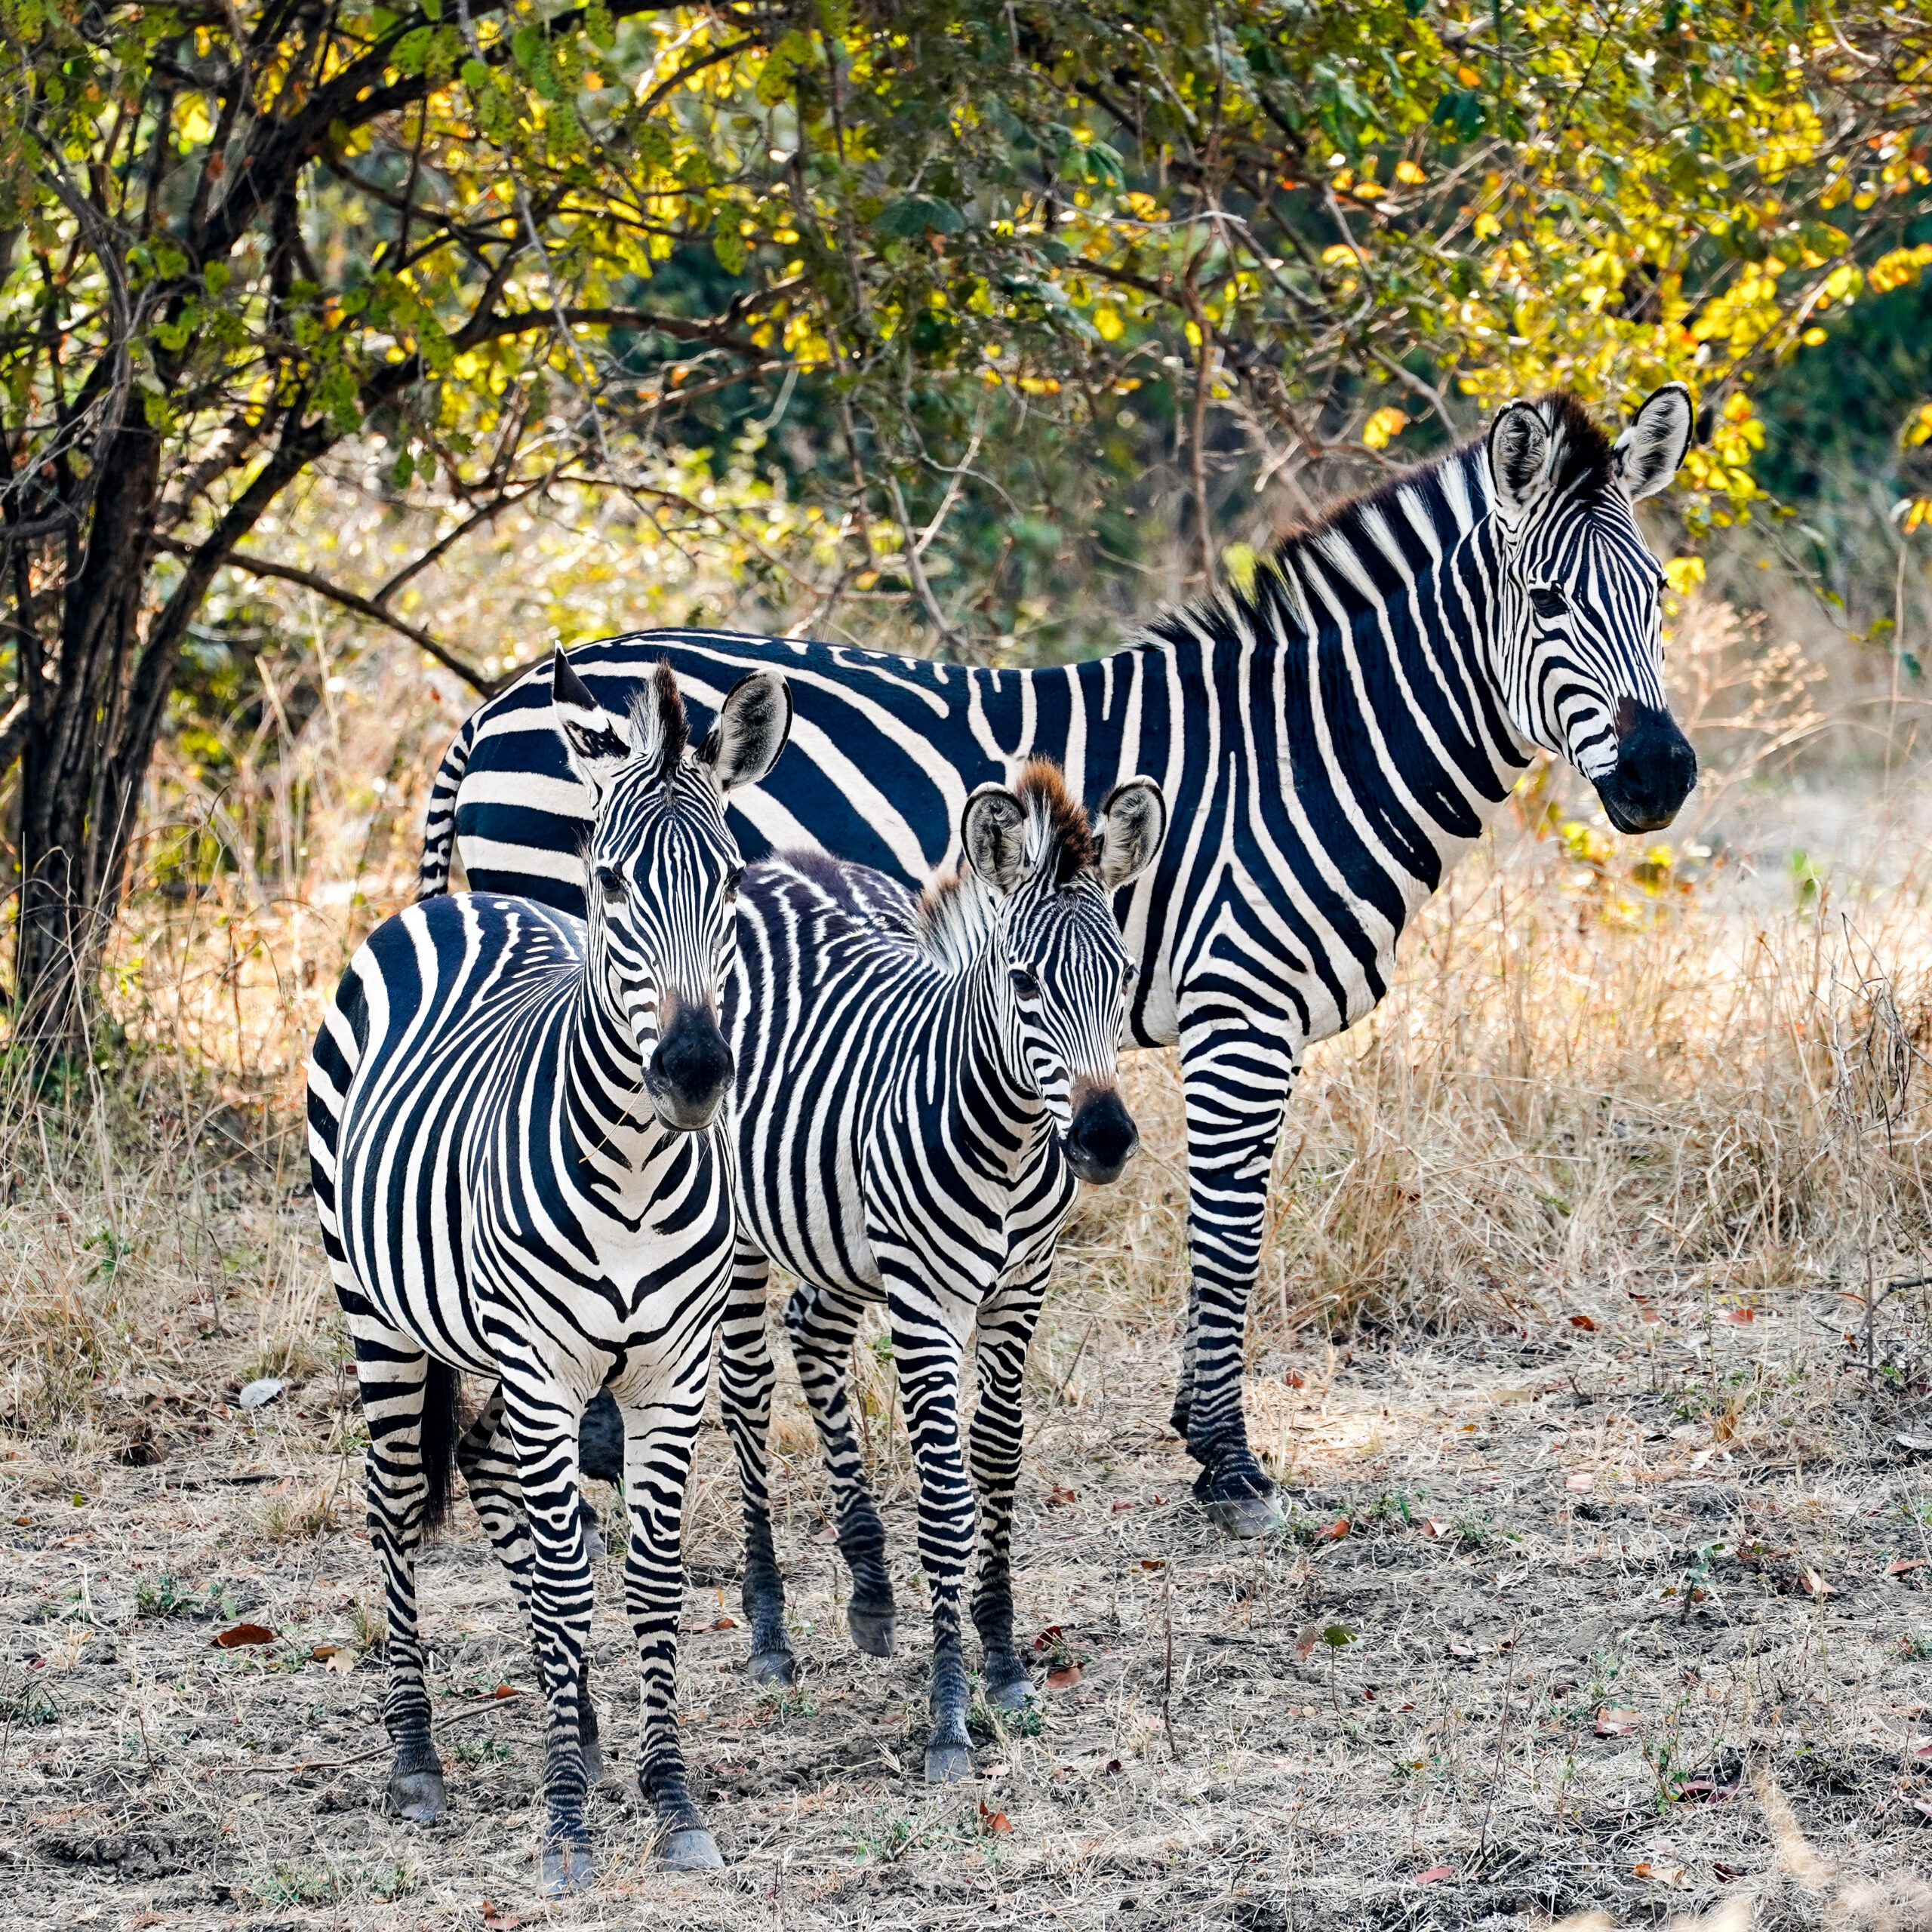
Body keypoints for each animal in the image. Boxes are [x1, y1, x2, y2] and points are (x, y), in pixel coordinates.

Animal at [308, 654, 792, 1892]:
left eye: (729, 881)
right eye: (612, 882)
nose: (694, 1071)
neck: (634, 1174)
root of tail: (455, 902)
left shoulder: (670, 1376)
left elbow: (649, 1582)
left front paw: (669, 1799)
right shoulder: (542, 1368)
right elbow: (573, 1583)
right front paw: (566, 1824)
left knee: (484, 1466)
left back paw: (575, 1721)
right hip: (380, 1318)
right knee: (395, 1496)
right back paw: (416, 1760)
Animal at [421, 384, 1699, 1539]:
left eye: (1656, 596)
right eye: (1548, 600)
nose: (1662, 776)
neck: (1310, 755)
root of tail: (497, 705)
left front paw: (1201, 1434)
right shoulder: (1240, 1010)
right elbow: (1230, 1231)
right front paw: (1227, 1463)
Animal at [710, 761, 1166, 1779]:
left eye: (1121, 977)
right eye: (1024, 981)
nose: (1105, 1138)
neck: (1008, 1138)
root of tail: (773, 863)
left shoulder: (1021, 1289)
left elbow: (997, 1463)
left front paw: (1003, 1661)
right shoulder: (925, 1300)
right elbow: (949, 1499)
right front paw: (950, 1715)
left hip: (835, 1235)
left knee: (813, 1333)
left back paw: (873, 1593)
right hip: (738, 1234)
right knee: (746, 1393)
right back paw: (769, 1633)